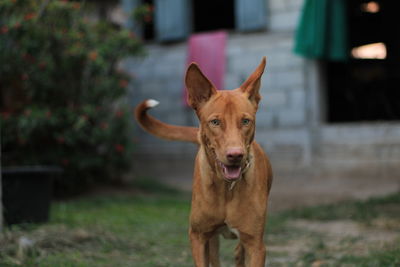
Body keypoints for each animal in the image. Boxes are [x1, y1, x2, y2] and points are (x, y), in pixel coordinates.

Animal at [137, 57, 272, 266]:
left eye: (245, 121)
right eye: (215, 122)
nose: (236, 155)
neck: (226, 188)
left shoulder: (256, 245)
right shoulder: (198, 236)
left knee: (238, 252)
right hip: (211, 239)